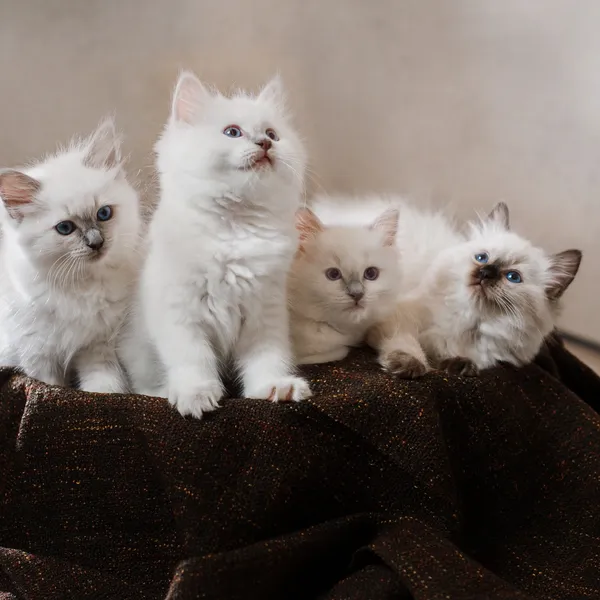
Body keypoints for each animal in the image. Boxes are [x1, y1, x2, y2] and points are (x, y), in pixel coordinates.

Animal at [0, 120, 142, 394]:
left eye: (104, 213)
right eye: (65, 228)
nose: (96, 243)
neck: (82, 287)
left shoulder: (98, 348)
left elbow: (103, 389)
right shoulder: (39, 356)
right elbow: (49, 387)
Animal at [119, 71, 312, 418]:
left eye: (272, 134)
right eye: (232, 132)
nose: (264, 144)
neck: (236, 228)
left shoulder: (265, 312)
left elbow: (266, 357)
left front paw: (274, 387)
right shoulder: (181, 312)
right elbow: (193, 359)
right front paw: (196, 394)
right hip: (137, 349)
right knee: (144, 384)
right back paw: (165, 390)